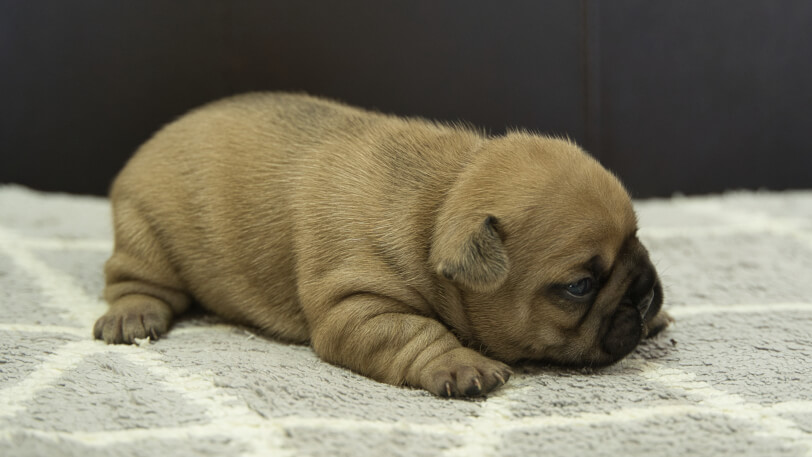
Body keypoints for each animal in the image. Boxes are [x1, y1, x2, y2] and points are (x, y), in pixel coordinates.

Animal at [95, 92, 668, 396]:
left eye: (638, 240)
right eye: (580, 286)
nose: (645, 294)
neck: (438, 202)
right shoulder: (357, 306)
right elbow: (417, 333)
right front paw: (461, 364)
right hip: (145, 232)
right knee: (133, 280)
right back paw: (133, 315)